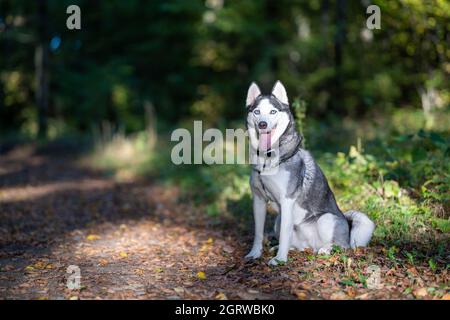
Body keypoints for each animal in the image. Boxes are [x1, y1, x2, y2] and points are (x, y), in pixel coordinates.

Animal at [244, 80, 374, 264]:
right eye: (257, 112)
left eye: (273, 111)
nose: (263, 124)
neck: (266, 159)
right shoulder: (259, 200)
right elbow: (258, 233)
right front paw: (255, 253)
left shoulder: (287, 201)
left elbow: (284, 233)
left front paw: (280, 260)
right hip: (278, 220)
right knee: (296, 244)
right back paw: (286, 248)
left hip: (326, 220)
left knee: (342, 246)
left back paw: (325, 250)